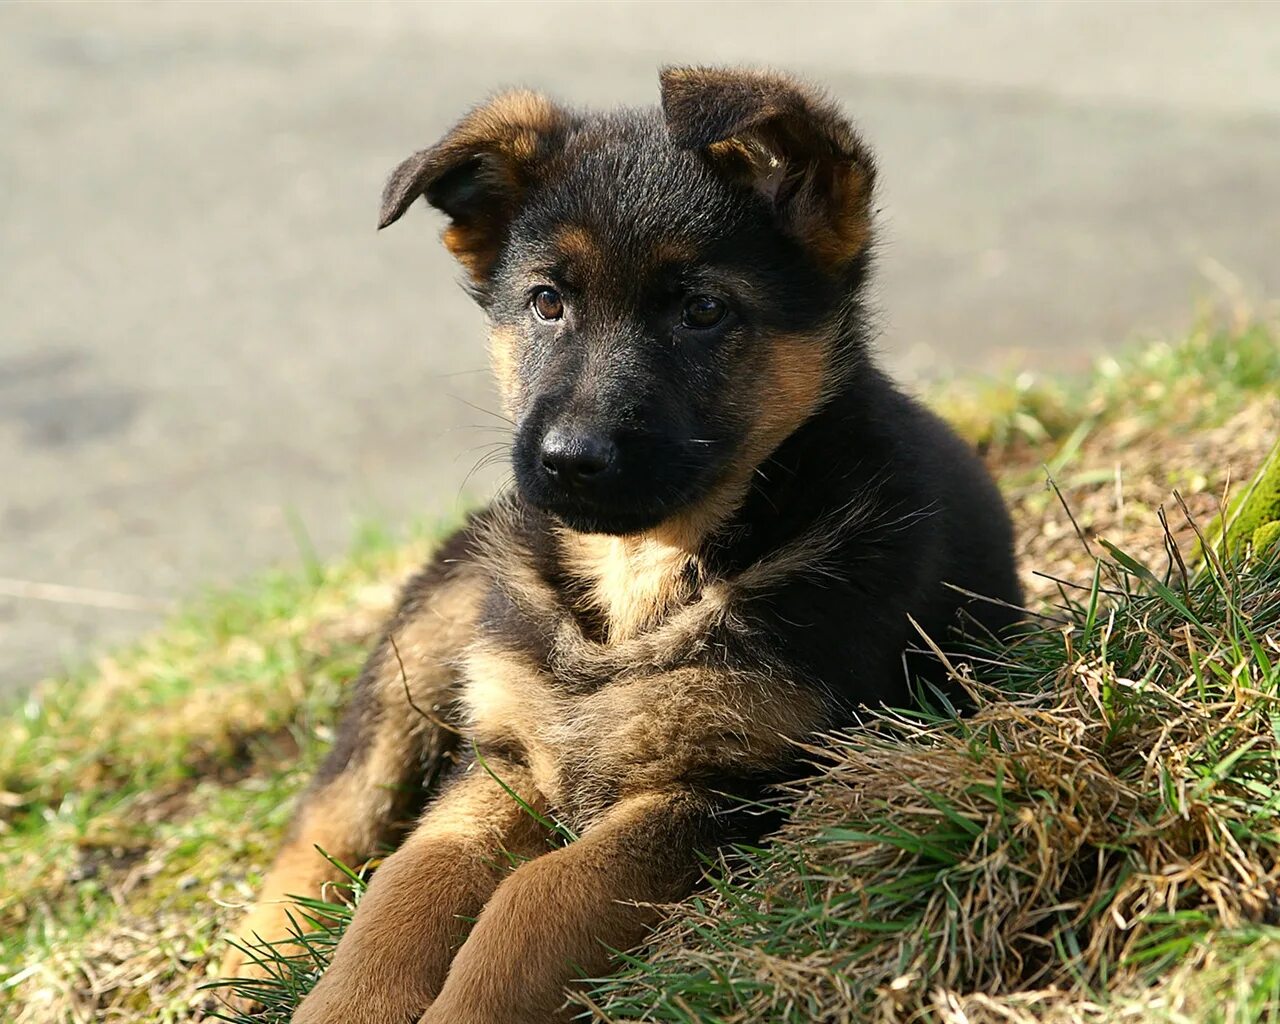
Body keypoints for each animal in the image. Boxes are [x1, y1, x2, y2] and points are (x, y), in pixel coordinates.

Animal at [220, 67, 1018, 1018]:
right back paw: (256, 949)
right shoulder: (502, 755)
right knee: (338, 805)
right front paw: (349, 998)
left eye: (703, 311)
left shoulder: (732, 785)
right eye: (546, 302)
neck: (642, 573)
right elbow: (413, 877)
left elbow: (540, 895)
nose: (568, 461)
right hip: (437, 627)